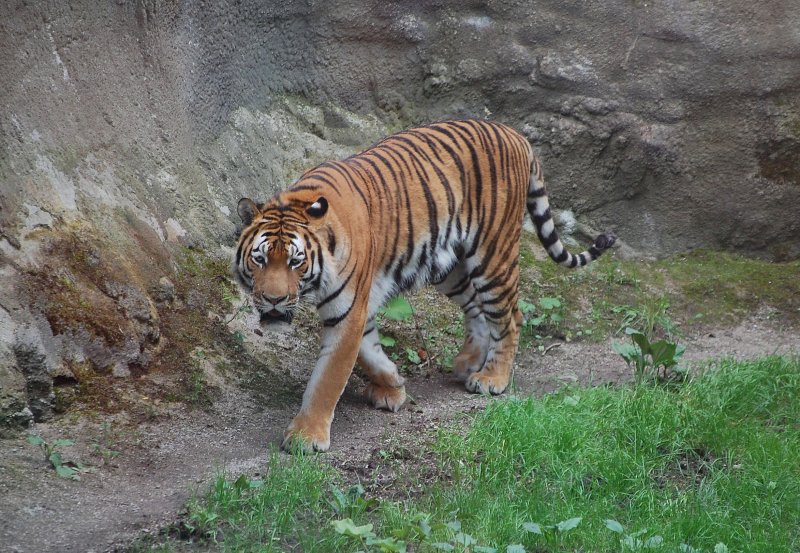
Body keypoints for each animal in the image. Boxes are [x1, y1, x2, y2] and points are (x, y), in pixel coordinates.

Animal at [234, 118, 616, 450]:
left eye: (296, 262)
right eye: (260, 259)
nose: (273, 299)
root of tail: (515, 134)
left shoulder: (348, 310)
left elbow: (328, 377)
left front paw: (306, 436)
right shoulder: (361, 306)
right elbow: (368, 352)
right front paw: (392, 384)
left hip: (493, 255)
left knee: (510, 316)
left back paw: (492, 378)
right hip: (450, 266)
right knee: (477, 308)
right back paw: (468, 362)